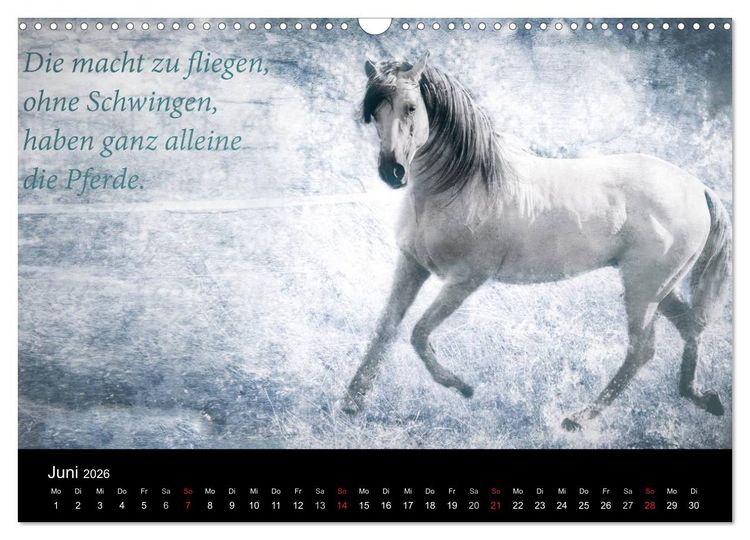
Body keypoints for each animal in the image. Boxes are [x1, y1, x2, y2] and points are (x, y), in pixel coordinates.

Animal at [341, 53, 731, 431]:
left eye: (410, 107)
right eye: (374, 111)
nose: (392, 171)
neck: (461, 186)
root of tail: (698, 187)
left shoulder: (465, 279)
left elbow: (419, 333)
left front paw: (463, 387)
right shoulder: (412, 265)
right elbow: (386, 328)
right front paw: (351, 402)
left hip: (644, 289)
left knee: (642, 349)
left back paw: (579, 418)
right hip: (660, 288)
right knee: (690, 326)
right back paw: (703, 398)